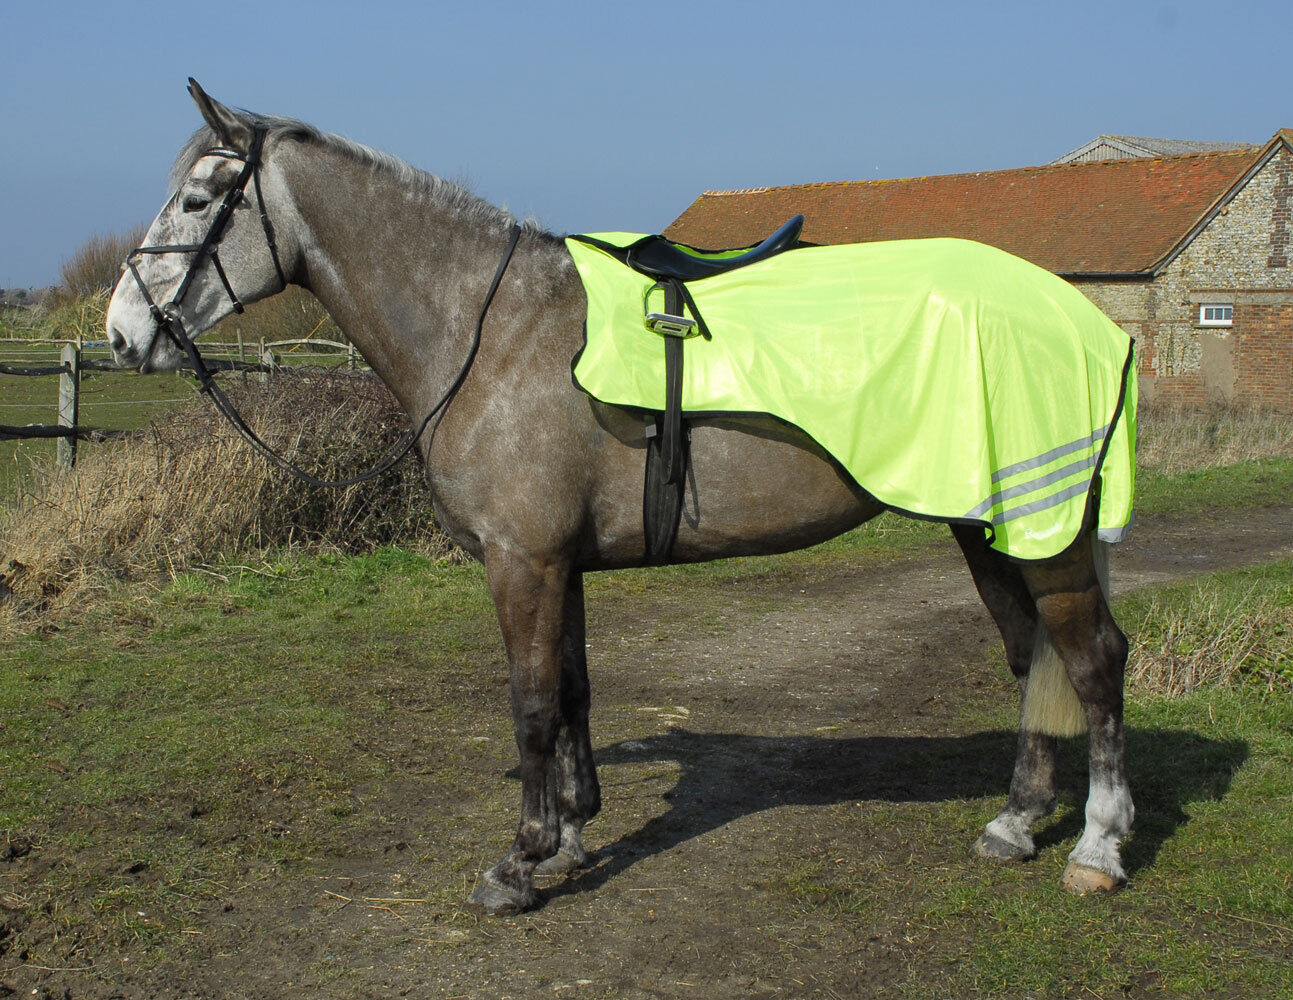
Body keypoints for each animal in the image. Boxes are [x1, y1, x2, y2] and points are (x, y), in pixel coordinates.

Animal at [105, 80, 1134, 916]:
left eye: (198, 200)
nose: (121, 333)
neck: (494, 334)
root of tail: (1082, 319)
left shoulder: (521, 562)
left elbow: (528, 705)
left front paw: (518, 864)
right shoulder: (558, 564)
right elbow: (570, 692)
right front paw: (567, 837)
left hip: (1043, 533)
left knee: (1091, 661)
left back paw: (1095, 847)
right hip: (985, 528)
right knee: (1029, 653)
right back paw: (1014, 823)